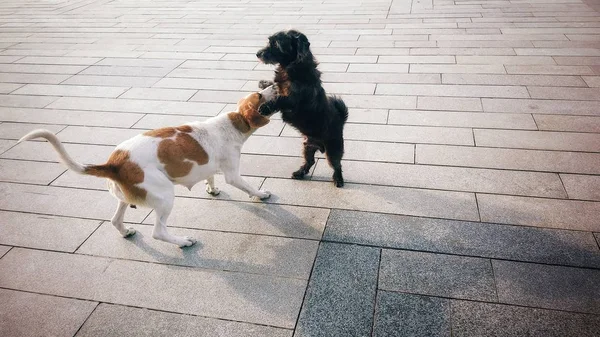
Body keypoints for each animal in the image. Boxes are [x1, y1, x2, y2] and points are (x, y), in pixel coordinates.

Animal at [19, 85, 278, 245]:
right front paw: (260, 194)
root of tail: (114, 163)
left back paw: (126, 231)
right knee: (158, 232)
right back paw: (183, 242)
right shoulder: (233, 173)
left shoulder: (209, 166)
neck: (234, 122)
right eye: (259, 94)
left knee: (115, 220)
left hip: (125, 198)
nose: (275, 85)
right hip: (164, 196)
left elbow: (210, 175)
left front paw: (211, 188)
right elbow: (247, 185)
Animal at [254, 29, 346, 186]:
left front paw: (265, 107)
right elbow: (274, 86)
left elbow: (278, 100)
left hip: (333, 150)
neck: (292, 66)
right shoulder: (280, 87)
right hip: (307, 147)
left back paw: (338, 179)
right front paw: (264, 83)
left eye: (276, 44)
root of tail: (341, 122)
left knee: (337, 165)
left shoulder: (292, 99)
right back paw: (299, 173)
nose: (258, 53)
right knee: (310, 162)